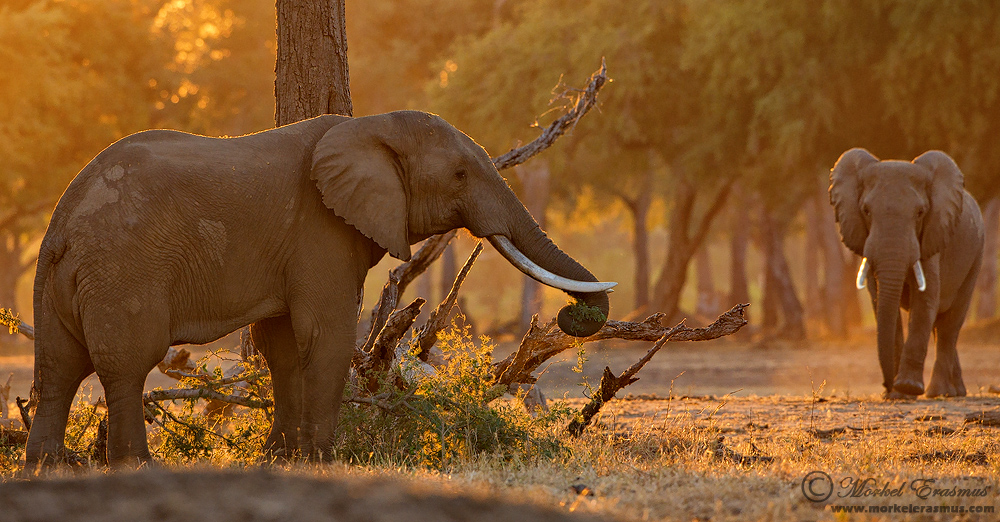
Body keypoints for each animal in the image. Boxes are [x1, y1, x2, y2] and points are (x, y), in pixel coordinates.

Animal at [25, 107, 616, 466]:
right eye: (460, 176)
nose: (571, 316)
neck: (370, 126)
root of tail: (62, 224)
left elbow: (284, 345)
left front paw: (283, 458)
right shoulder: (321, 231)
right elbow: (325, 334)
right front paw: (326, 461)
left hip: (57, 280)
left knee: (57, 367)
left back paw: (46, 469)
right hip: (123, 271)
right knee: (125, 364)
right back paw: (136, 467)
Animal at [828, 149, 984, 398]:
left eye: (920, 212)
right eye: (866, 211)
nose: (886, 387)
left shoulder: (933, 235)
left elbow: (925, 299)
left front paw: (908, 388)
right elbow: (879, 299)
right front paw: (898, 394)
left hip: (976, 255)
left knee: (950, 324)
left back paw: (938, 393)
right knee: (939, 324)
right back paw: (955, 392)